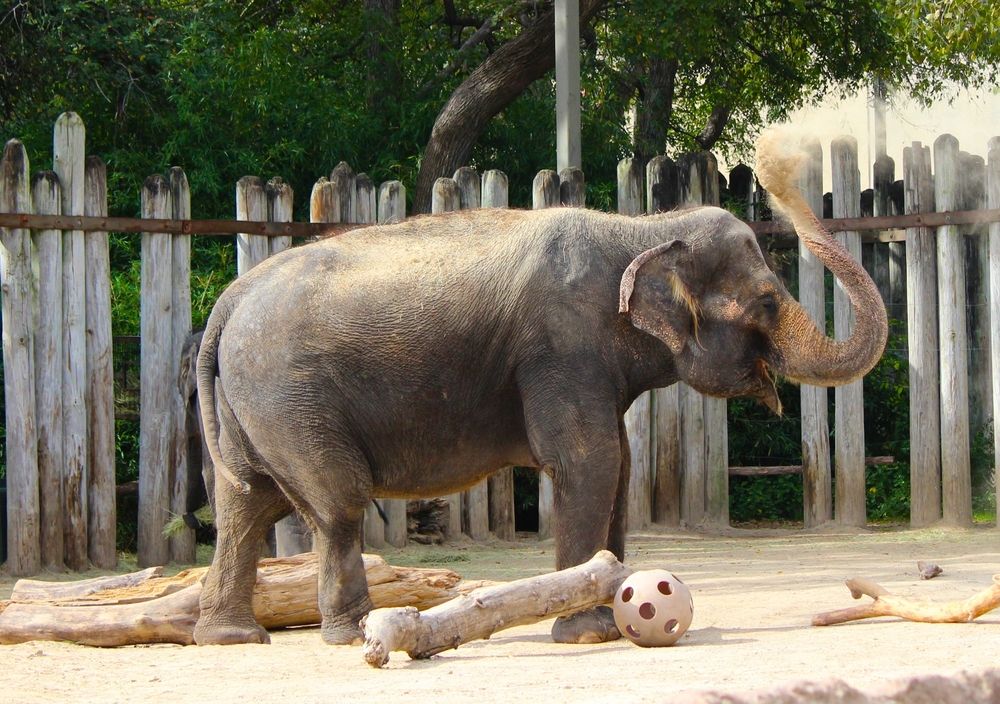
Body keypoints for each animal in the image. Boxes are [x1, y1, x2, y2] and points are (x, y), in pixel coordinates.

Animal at [192, 136, 887, 647]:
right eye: (767, 301)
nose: (778, 165)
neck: (640, 229)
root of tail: (228, 301)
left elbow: (619, 466)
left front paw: (609, 615)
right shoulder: (562, 345)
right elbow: (589, 462)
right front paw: (587, 633)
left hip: (253, 407)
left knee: (245, 505)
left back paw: (230, 638)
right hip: (289, 397)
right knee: (336, 503)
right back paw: (352, 633)